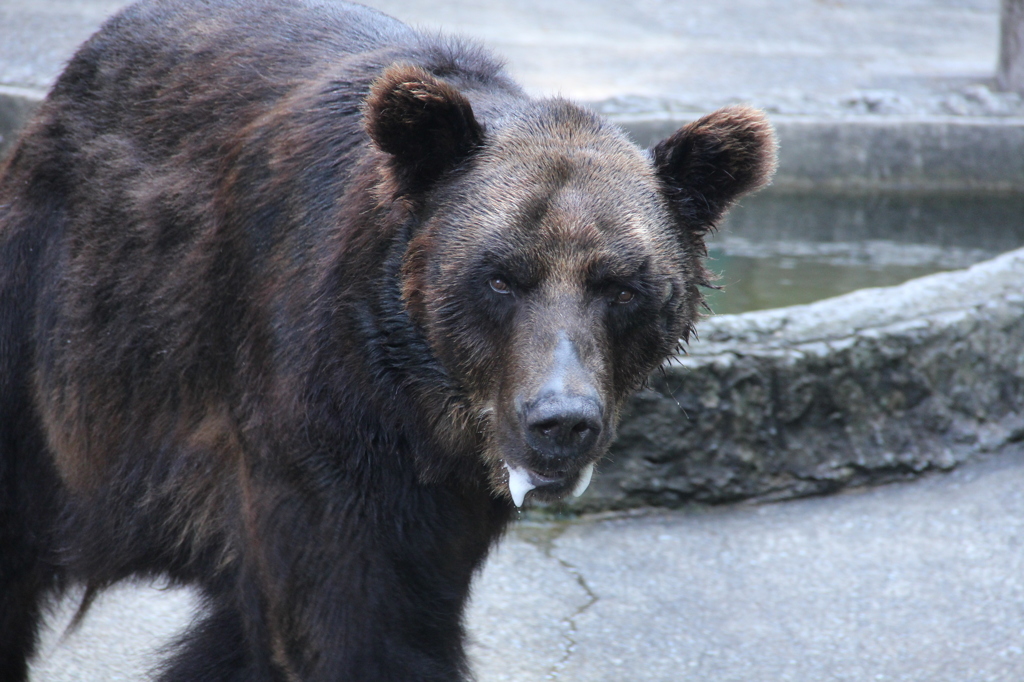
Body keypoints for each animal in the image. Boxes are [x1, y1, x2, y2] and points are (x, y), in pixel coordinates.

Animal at [0, 1, 770, 679]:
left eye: (621, 286)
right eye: (500, 278)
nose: (561, 421)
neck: (419, 402)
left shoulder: (441, 500)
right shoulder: (318, 424)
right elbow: (353, 618)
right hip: (60, 323)